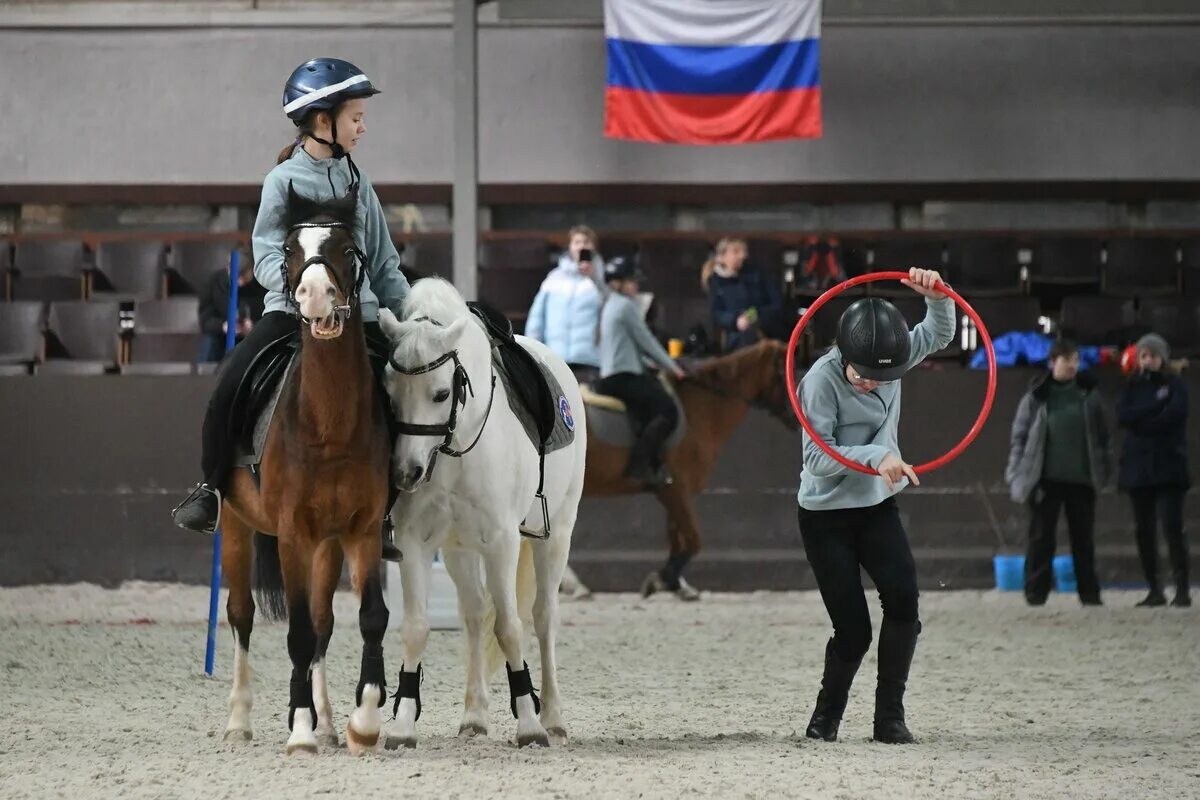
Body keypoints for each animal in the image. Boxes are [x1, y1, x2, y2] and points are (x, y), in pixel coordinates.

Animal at [213, 188, 386, 758]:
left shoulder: (362, 530)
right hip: (237, 527)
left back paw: (330, 722)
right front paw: (300, 729)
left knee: (324, 621)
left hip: (327, 545)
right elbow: (296, 634)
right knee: (242, 615)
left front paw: (361, 722)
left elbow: (368, 618)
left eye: (348, 247)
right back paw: (238, 721)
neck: (327, 424)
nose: (314, 297)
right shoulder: (291, 535)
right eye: (289, 248)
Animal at [372, 280, 583, 753]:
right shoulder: (414, 545)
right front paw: (402, 727)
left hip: (556, 535)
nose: (405, 473)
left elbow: (509, 628)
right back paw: (473, 717)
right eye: (388, 396)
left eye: (440, 393)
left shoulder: (503, 543)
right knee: (471, 617)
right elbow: (417, 628)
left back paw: (555, 720)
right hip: (459, 552)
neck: (454, 448)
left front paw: (529, 725)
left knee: (543, 617)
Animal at [580, 340, 796, 599]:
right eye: (783, 373)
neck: (699, 409)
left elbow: (677, 538)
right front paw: (662, 580)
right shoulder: (676, 488)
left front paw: (674, 583)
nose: (797, 419)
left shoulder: (672, 491)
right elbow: (693, 540)